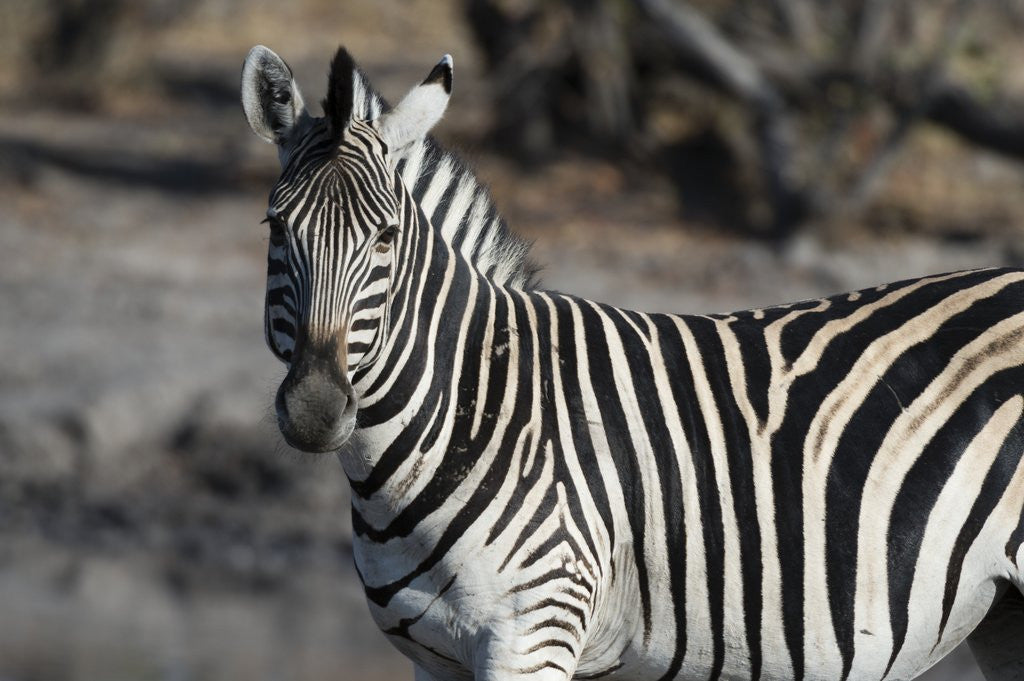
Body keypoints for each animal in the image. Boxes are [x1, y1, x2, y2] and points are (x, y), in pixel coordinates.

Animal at [240, 45, 1024, 681]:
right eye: (276, 227)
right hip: (1002, 616)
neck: (473, 410)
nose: (315, 408)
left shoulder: (532, 635)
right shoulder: (434, 659)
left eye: (386, 237)